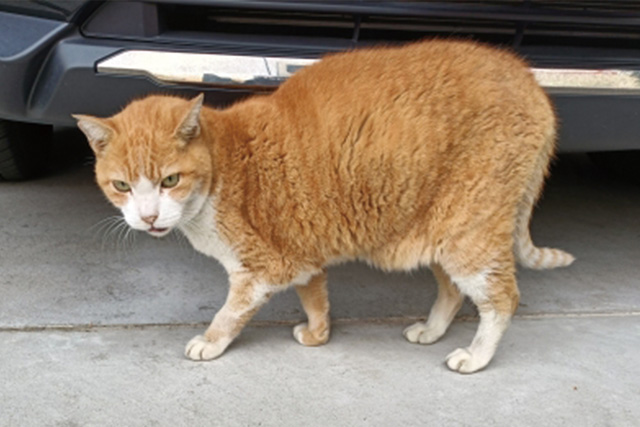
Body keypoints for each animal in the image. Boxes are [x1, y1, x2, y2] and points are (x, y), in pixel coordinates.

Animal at [75, 41, 576, 374]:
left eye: (169, 181)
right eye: (121, 186)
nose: (148, 217)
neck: (222, 166)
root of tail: (529, 80)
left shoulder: (260, 271)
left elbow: (228, 314)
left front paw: (210, 343)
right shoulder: (300, 254)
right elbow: (315, 298)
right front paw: (317, 336)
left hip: (468, 234)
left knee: (502, 298)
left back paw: (475, 356)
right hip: (438, 230)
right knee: (452, 291)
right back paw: (431, 331)